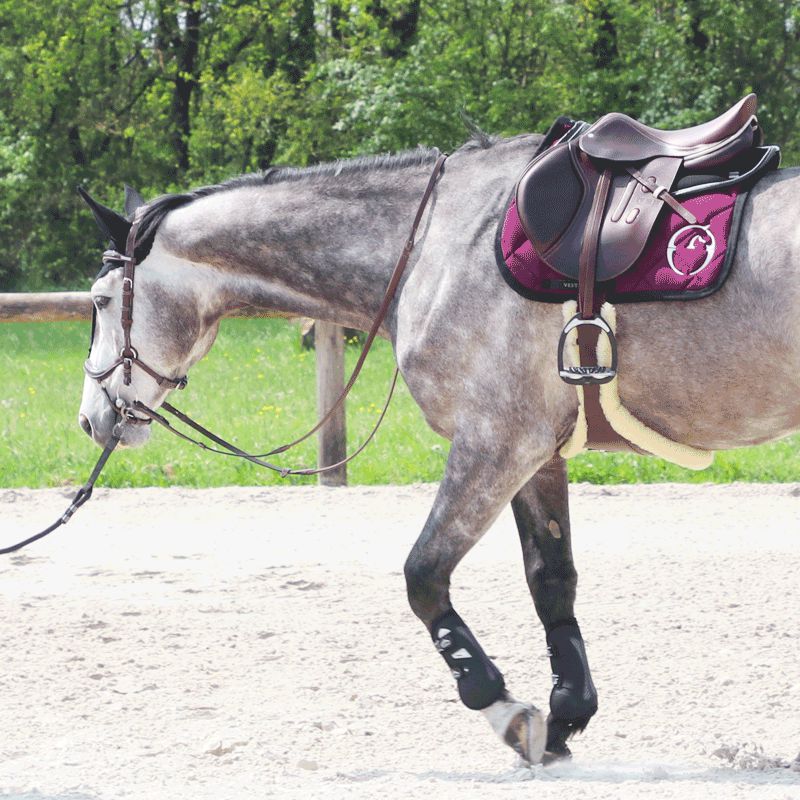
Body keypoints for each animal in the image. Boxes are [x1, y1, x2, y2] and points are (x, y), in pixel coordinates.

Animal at [77, 132, 800, 766]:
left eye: (102, 299)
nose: (91, 419)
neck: (434, 245)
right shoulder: (538, 454)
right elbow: (552, 581)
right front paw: (566, 712)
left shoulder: (495, 444)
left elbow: (423, 577)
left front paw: (502, 707)